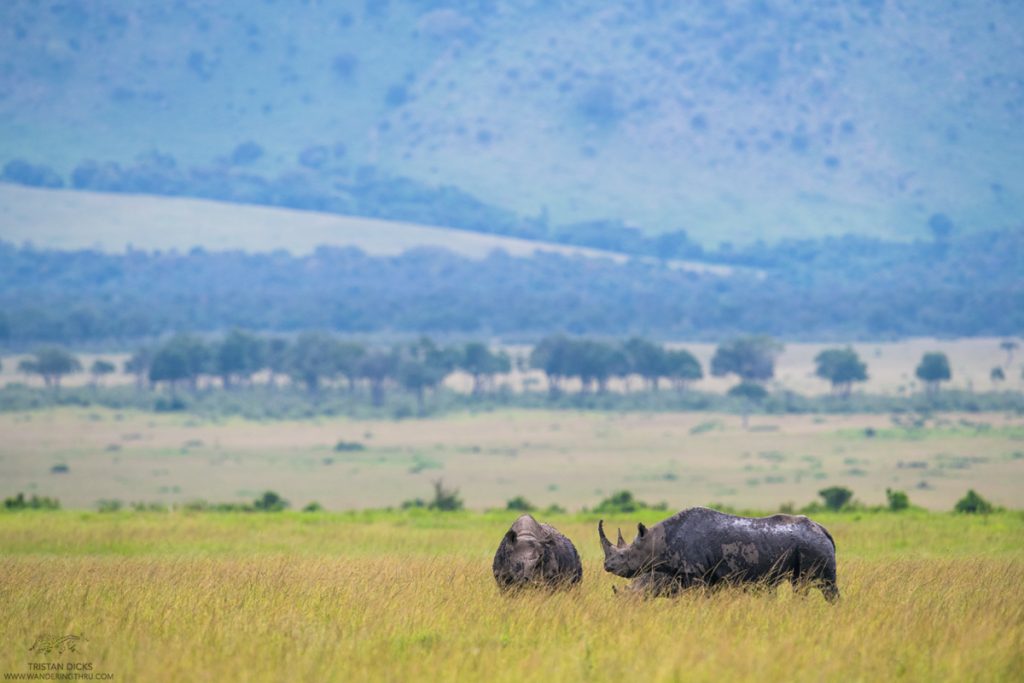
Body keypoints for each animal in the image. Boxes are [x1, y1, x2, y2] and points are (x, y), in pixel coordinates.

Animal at [599, 507, 838, 601]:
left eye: (625, 556)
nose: (607, 566)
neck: (657, 540)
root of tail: (823, 530)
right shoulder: (700, 577)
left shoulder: (694, 573)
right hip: (808, 546)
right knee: (802, 585)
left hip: (813, 545)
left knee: (821, 586)